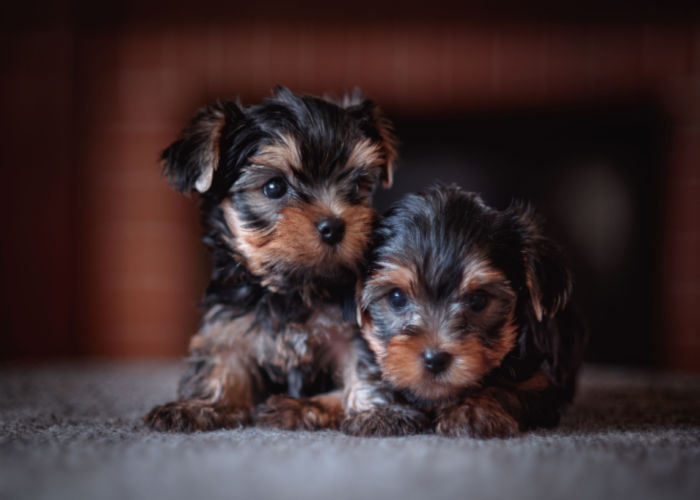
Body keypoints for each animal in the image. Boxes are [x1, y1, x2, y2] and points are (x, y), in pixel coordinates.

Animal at [144, 87, 396, 434]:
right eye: (274, 187)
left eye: (358, 186)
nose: (334, 226)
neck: (289, 289)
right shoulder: (229, 321)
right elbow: (220, 363)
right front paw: (201, 405)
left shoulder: (351, 326)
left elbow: (362, 362)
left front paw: (373, 411)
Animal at [342, 185, 588, 438]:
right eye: (396, 298)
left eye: (478, 300)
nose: (435, 359)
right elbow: (366, 368)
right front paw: (381, 412)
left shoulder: (541, 384)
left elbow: (507, 389)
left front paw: (473, 411)